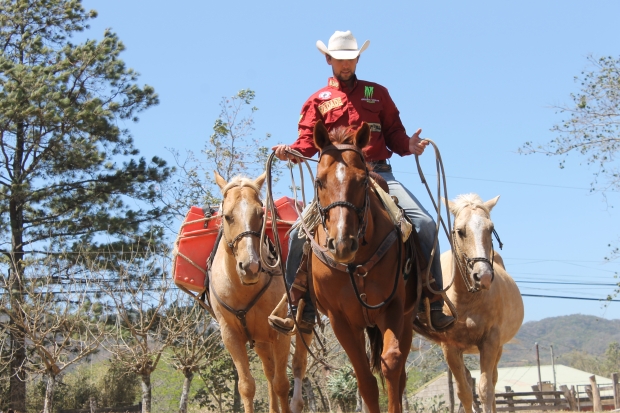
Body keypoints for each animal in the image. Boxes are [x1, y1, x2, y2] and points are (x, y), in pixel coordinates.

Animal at [211, 171, 294, 412]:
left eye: (260, 213)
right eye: (227, 216)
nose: (251, 266)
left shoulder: (281, 331)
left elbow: (282, 384)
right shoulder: (230, 336)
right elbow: (247, 386)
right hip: (261, 342)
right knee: (268, 372)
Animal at [306, 122, 416, 412]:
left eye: (363, 180)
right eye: (319, 181)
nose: (342, 243)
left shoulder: (392, 306)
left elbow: (391, 365)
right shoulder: (340, 320)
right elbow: (365, 379)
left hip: (408, 318)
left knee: (401, 374)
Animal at [416, 194, 524, 412]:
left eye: (490, 228)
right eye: (460, 231)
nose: (483, 276)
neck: (466, 299)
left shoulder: (490, 342)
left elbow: (486, 390)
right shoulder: (450, 348)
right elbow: (464, 392)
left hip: (498, 348)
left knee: (492, 381)